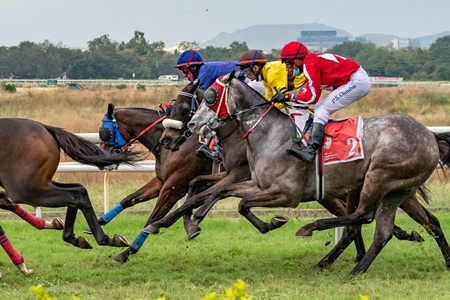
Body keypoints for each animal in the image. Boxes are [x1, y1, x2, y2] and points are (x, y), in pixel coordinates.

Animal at [0, 118, 137, 250]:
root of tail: (45, 128)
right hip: (41, 183)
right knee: (78, 190)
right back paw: (72, 237)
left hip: (26, 189)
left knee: (76, 194)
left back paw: (103, 239)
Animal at [183, 72, 450, 274]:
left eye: (210, 95)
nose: (193, 125)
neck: (270, 134)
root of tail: (430, 136)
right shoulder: (258, 185)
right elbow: (224, 193)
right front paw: (195, 222)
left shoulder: (287, 194)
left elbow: (242, 204)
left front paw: (273, 222)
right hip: (397, 191)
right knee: (387, 230)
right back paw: (357, 270)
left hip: (379, 178)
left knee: (363, 216)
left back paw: (313, 229)